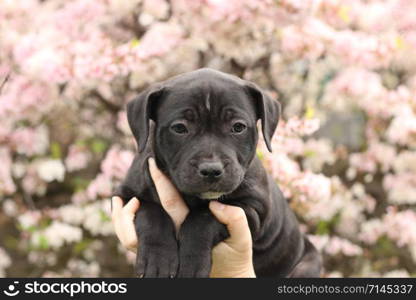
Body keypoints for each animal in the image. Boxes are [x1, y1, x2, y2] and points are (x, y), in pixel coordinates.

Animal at [115, 68, 324, 278]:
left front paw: (192, 263)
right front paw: (157, 260)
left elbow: (204, 217)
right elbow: (150, 212)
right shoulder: (126, 197)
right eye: (179, 128)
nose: (211, 170)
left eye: (238, 127)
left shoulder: (252, 209)